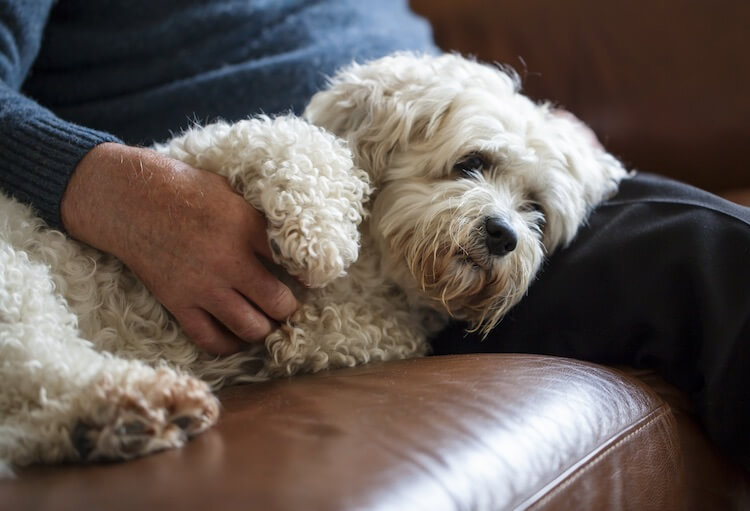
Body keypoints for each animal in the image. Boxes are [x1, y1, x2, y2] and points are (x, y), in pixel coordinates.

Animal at [0, 54, 628, 474]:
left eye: (535, 211)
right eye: (471, 162)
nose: (503, 235)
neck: (376, 269)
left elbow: (384, 333)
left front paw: (307, 334)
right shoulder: (187, 162)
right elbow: (295, 141)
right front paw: (321, 237)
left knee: (31, 413)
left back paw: (118, 421)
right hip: (17, 283)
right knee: (45, 361)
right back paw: (137, 401)